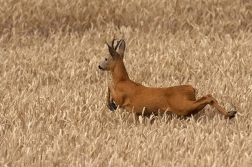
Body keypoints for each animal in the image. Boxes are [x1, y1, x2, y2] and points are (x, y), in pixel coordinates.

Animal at [98, 38, 236, 118]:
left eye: (106, 58)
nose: (99, 66)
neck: (122, 80)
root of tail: (192, 88)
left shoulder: (121, 98)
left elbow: (109, 86)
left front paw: (110, 105)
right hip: (187, 109)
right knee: (207, 97)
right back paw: (230, 113)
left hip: (182, 105)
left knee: (208, 96)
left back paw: (229, 114)